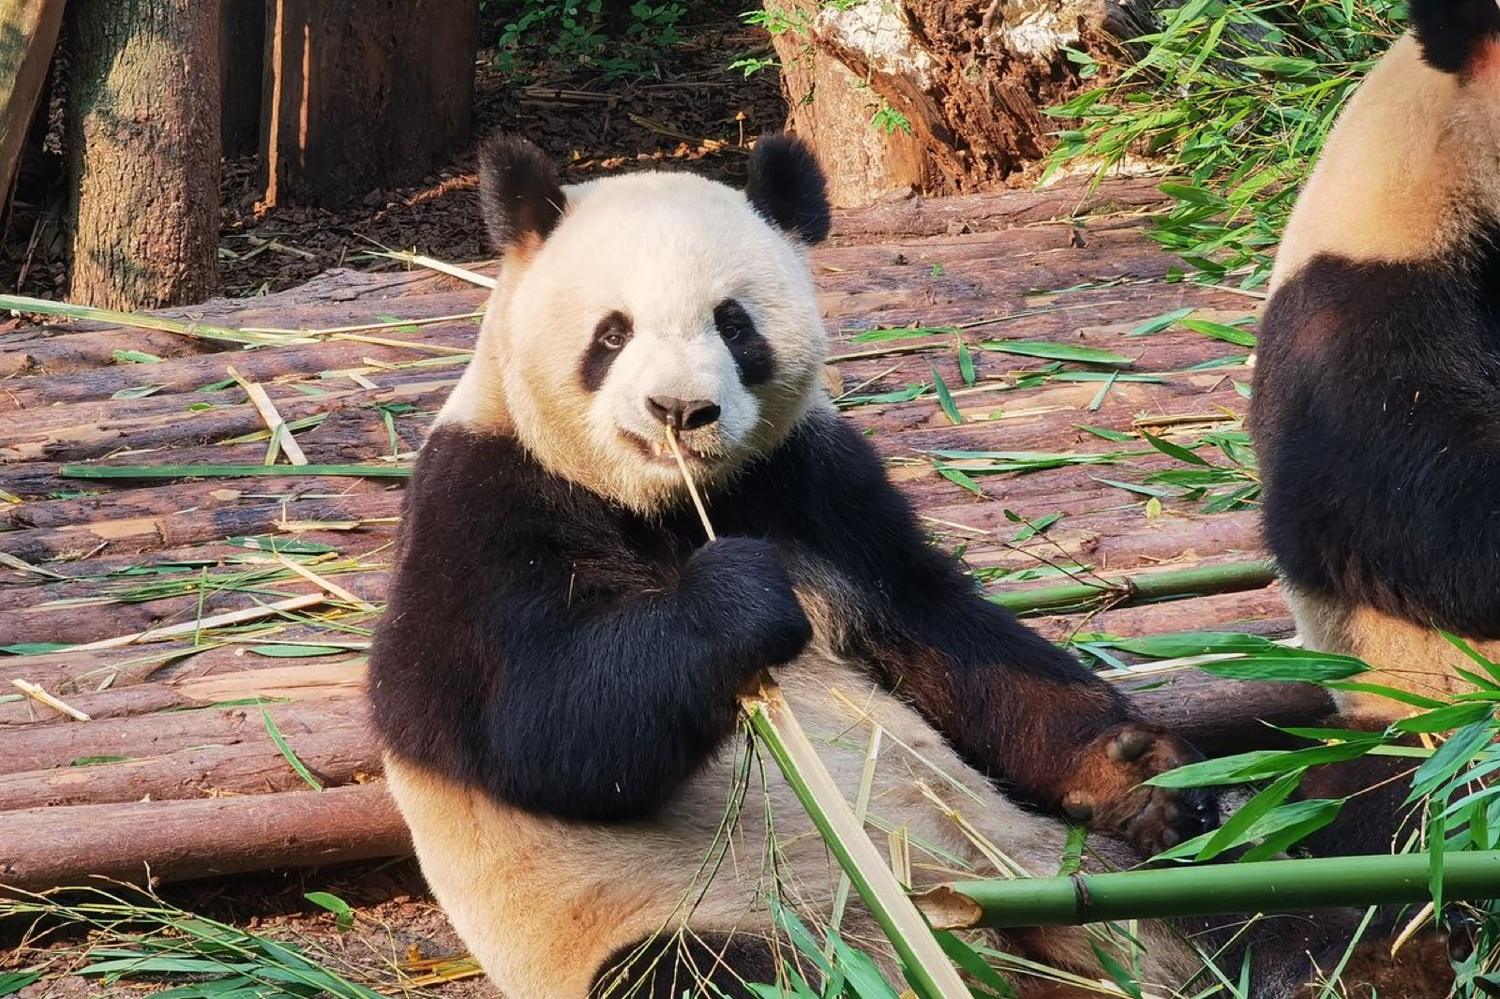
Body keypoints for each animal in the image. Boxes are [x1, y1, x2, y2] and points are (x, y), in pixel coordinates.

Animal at [367, 134, 1335, 999]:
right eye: (612, 333)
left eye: (734, 323)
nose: (680, 410)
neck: (670, 502)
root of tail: (984, 943)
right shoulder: (482, 502)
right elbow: (534, 725)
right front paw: (738, 599)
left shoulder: (810, 481)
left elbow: (945, 635)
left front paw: (1133, 765)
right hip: (717, 914)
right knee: (701, 975)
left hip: (1076, 865)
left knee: (1263, 864)